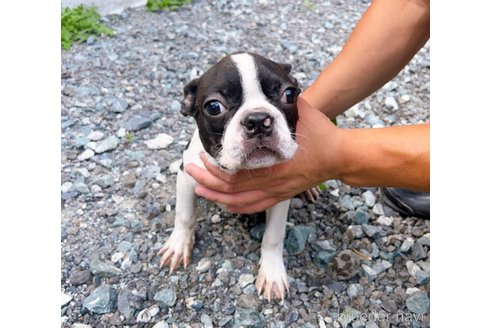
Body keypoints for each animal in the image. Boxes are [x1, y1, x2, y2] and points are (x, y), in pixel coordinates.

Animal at [158, 51, 308, 300]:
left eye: (289, 94)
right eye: (214, 107)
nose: (258, 120)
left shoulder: (280, 196)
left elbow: (273, 236)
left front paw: (272, 274)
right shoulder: (186, 176)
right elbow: (184, 215)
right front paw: (178, 245)